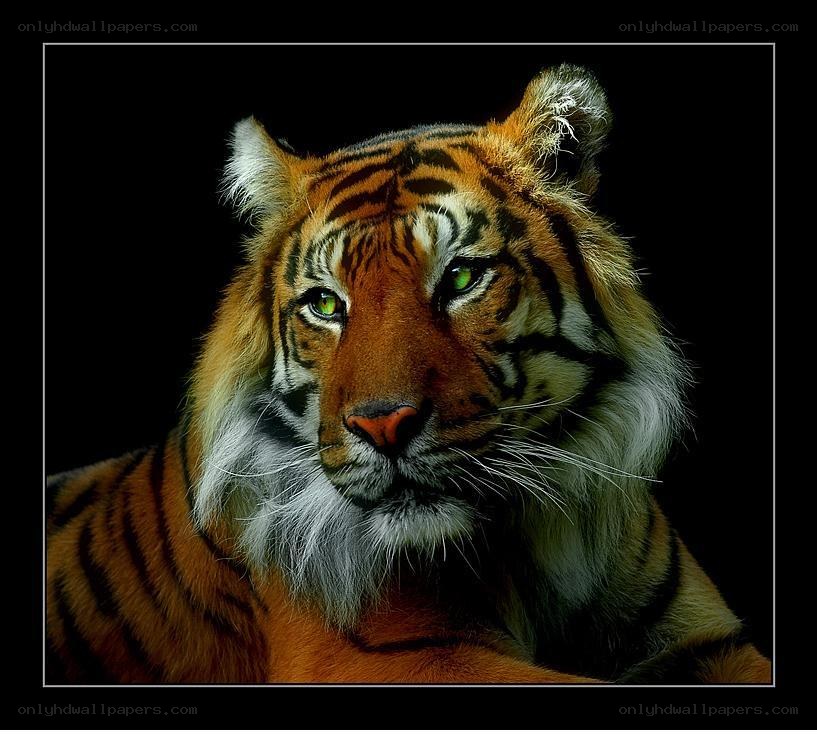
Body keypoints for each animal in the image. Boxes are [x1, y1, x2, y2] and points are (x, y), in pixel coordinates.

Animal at [46, 64, 770, 684]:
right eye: (325, 304)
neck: (537, 541)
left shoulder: (706, 638)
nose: (383, 425)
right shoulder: (392, 656)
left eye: (460, 277)